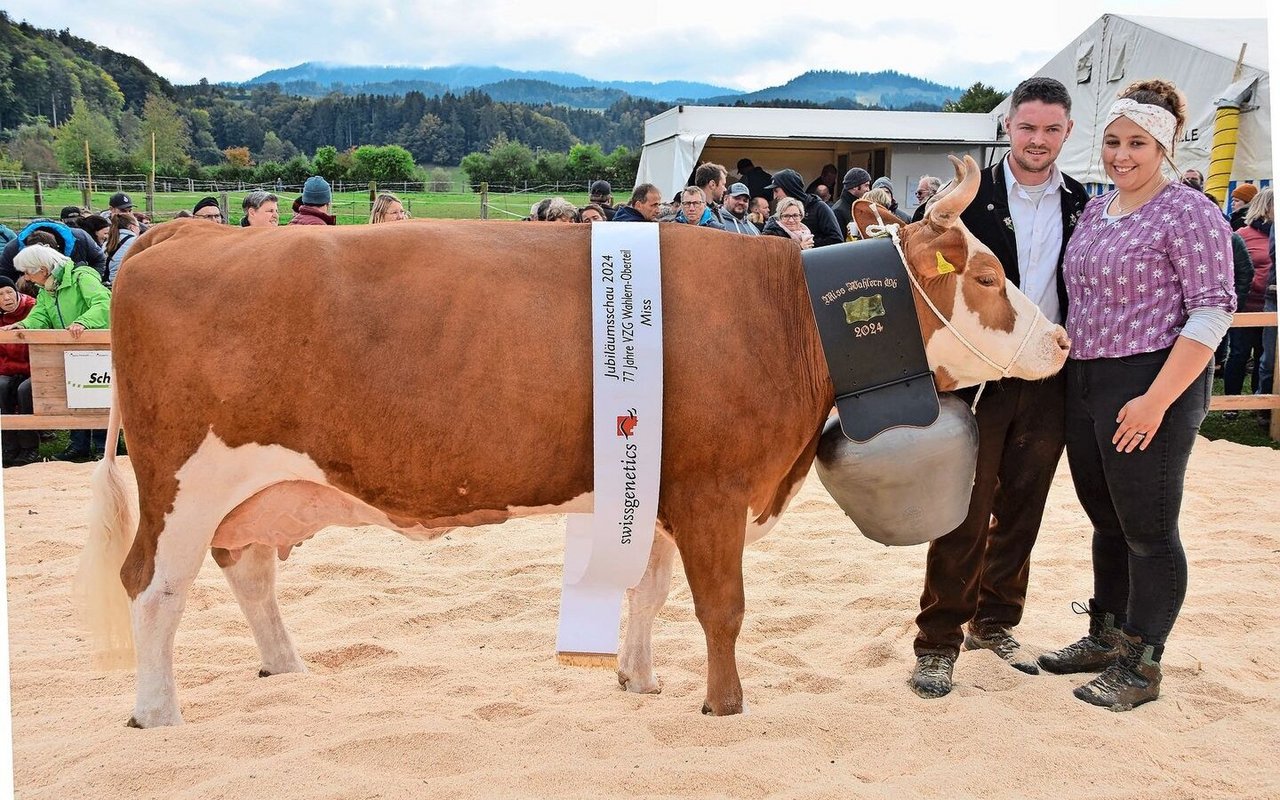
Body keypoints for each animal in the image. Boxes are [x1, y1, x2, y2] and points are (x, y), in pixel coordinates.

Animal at [74, 152, 1064, 727]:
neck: (787, 313)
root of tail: (176, 233)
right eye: (986, 275)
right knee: (152, 588)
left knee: (246, 568)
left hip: (251, 490)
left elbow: (649, 594)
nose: (1059, 340)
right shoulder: (715, 489)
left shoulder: (665, 486)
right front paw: (725, 705)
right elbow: (722, 608)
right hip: (184, 480)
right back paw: (156, 713)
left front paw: (640, 680)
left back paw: (285, 667)